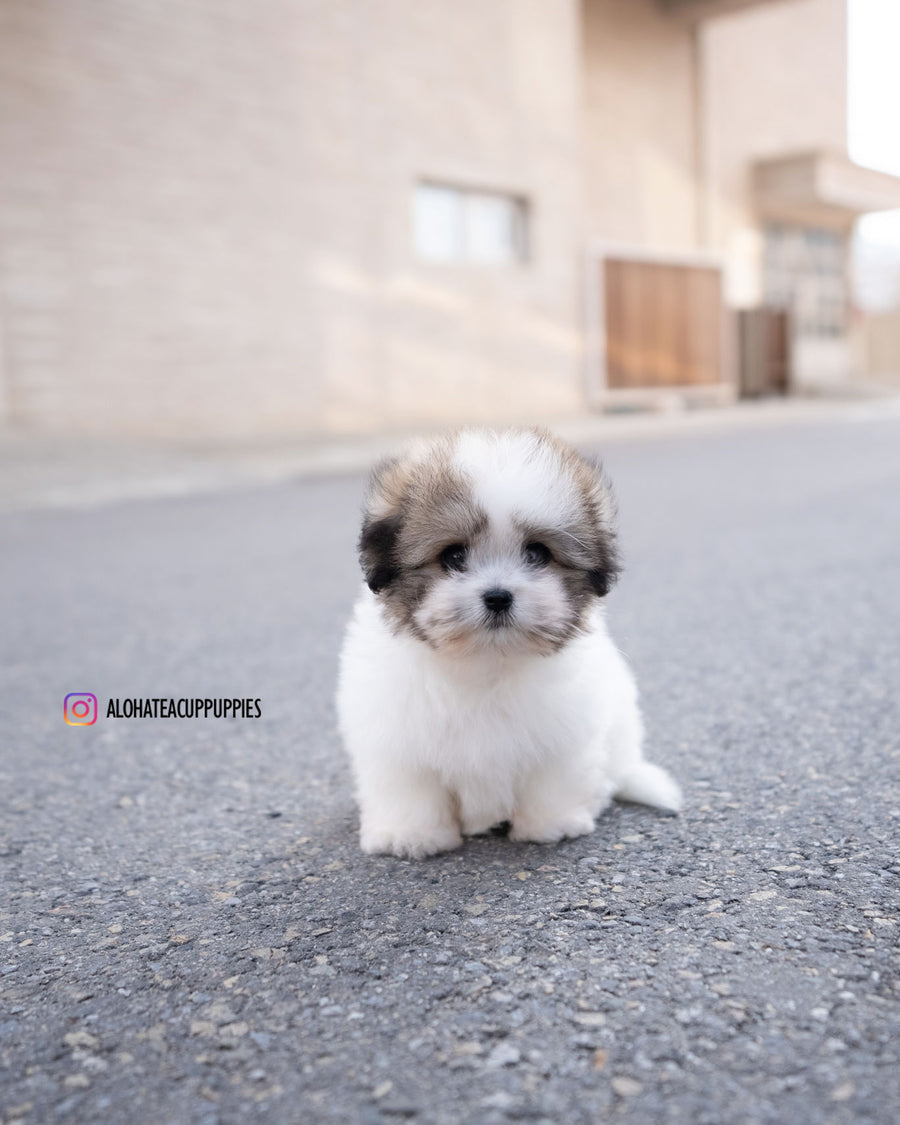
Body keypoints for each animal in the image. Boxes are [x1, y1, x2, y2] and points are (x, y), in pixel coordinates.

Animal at [337, 425, 684, 855]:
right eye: (453, 556)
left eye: (537, 553)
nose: (498, 596)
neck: (486, 661)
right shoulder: (395, 739)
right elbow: (411, 787)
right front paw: (411, 835)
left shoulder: (565, 732)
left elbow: (551, 777)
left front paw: (551, 824)